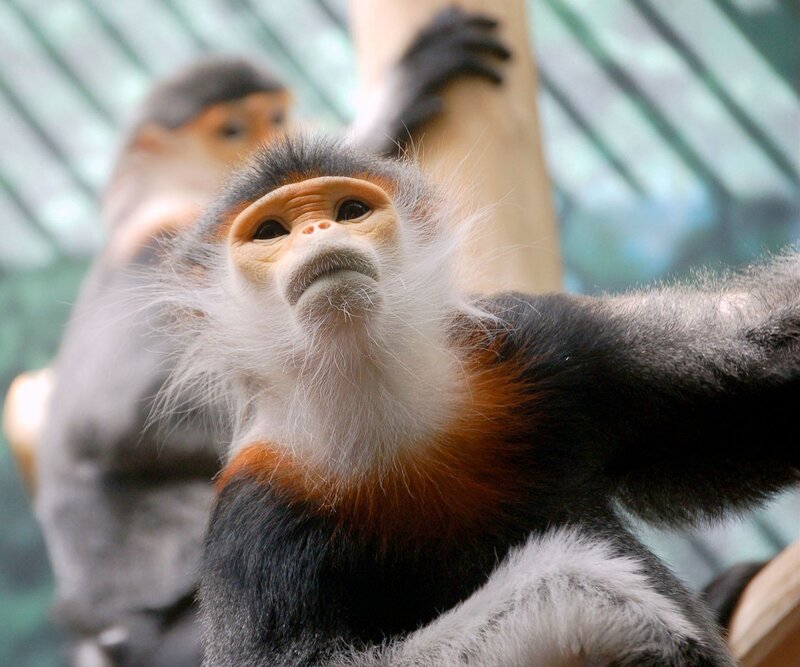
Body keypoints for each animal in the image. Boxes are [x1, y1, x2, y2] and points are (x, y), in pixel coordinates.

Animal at [29, 10, 512, 667]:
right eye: (232, 129)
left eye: (276, 119)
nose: (264, 147)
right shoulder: (160, 248)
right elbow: (112, 421)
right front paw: (387, 105)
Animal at [155, 134, 800, 666]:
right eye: (270, 232)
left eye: (350, 212)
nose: (318, 233)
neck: (375, 401)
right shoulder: (251, 520)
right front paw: (586, 596)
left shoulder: (547, 342)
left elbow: (765, 375)